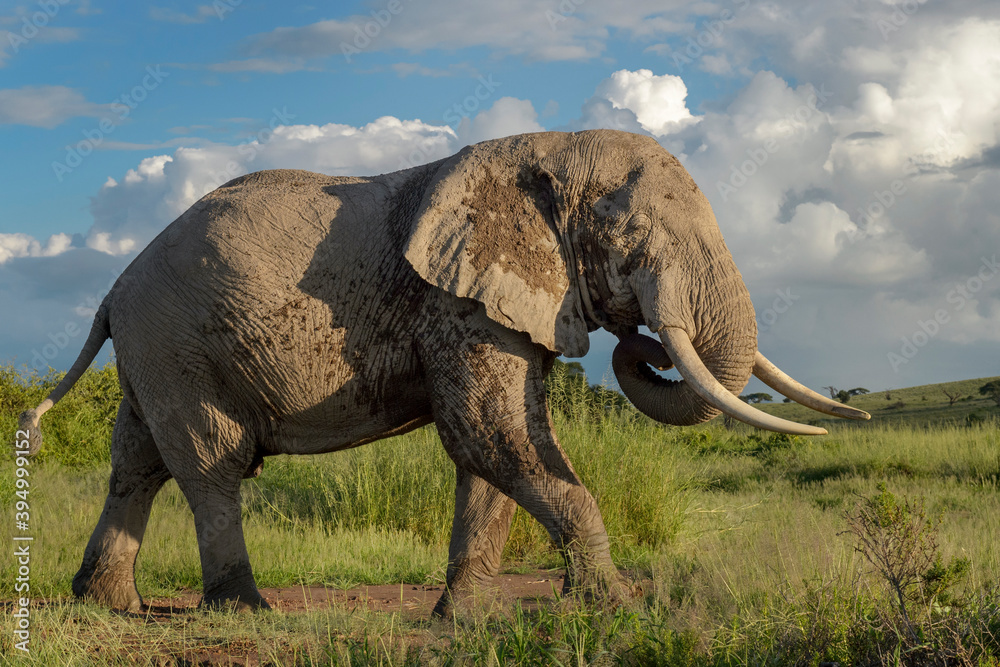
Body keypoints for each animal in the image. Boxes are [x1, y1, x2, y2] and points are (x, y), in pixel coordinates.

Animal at [18, 129, 869, 615]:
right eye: (630, 235)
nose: (646, 343)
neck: (542, 149)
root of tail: (112, 290)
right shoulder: (454, 300)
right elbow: (491, 432)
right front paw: (617, 607)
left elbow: (490, 448)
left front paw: (465, 617)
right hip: (178, 345)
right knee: (209, 463)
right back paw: (244, 610)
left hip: (155, 353)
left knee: (135, 463)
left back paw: (106, 605)